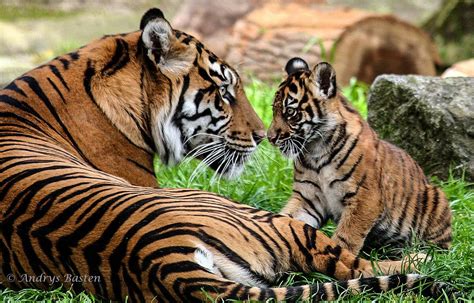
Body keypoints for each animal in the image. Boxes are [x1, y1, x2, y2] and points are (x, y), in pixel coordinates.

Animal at [0, 8, 446, 302]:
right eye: (225, 91)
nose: (263, 137)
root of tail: (161, 263)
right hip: (259, 218)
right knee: (355, 263)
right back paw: (421, 259)